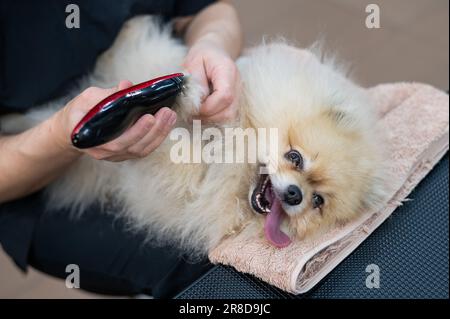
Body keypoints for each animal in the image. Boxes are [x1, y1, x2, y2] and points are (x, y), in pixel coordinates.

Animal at [0, 16, 386, 256]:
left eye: (318, 201)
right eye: (295, 156)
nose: (294, 194)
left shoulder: (193, 186)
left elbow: (179, 160)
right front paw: (185, 93)